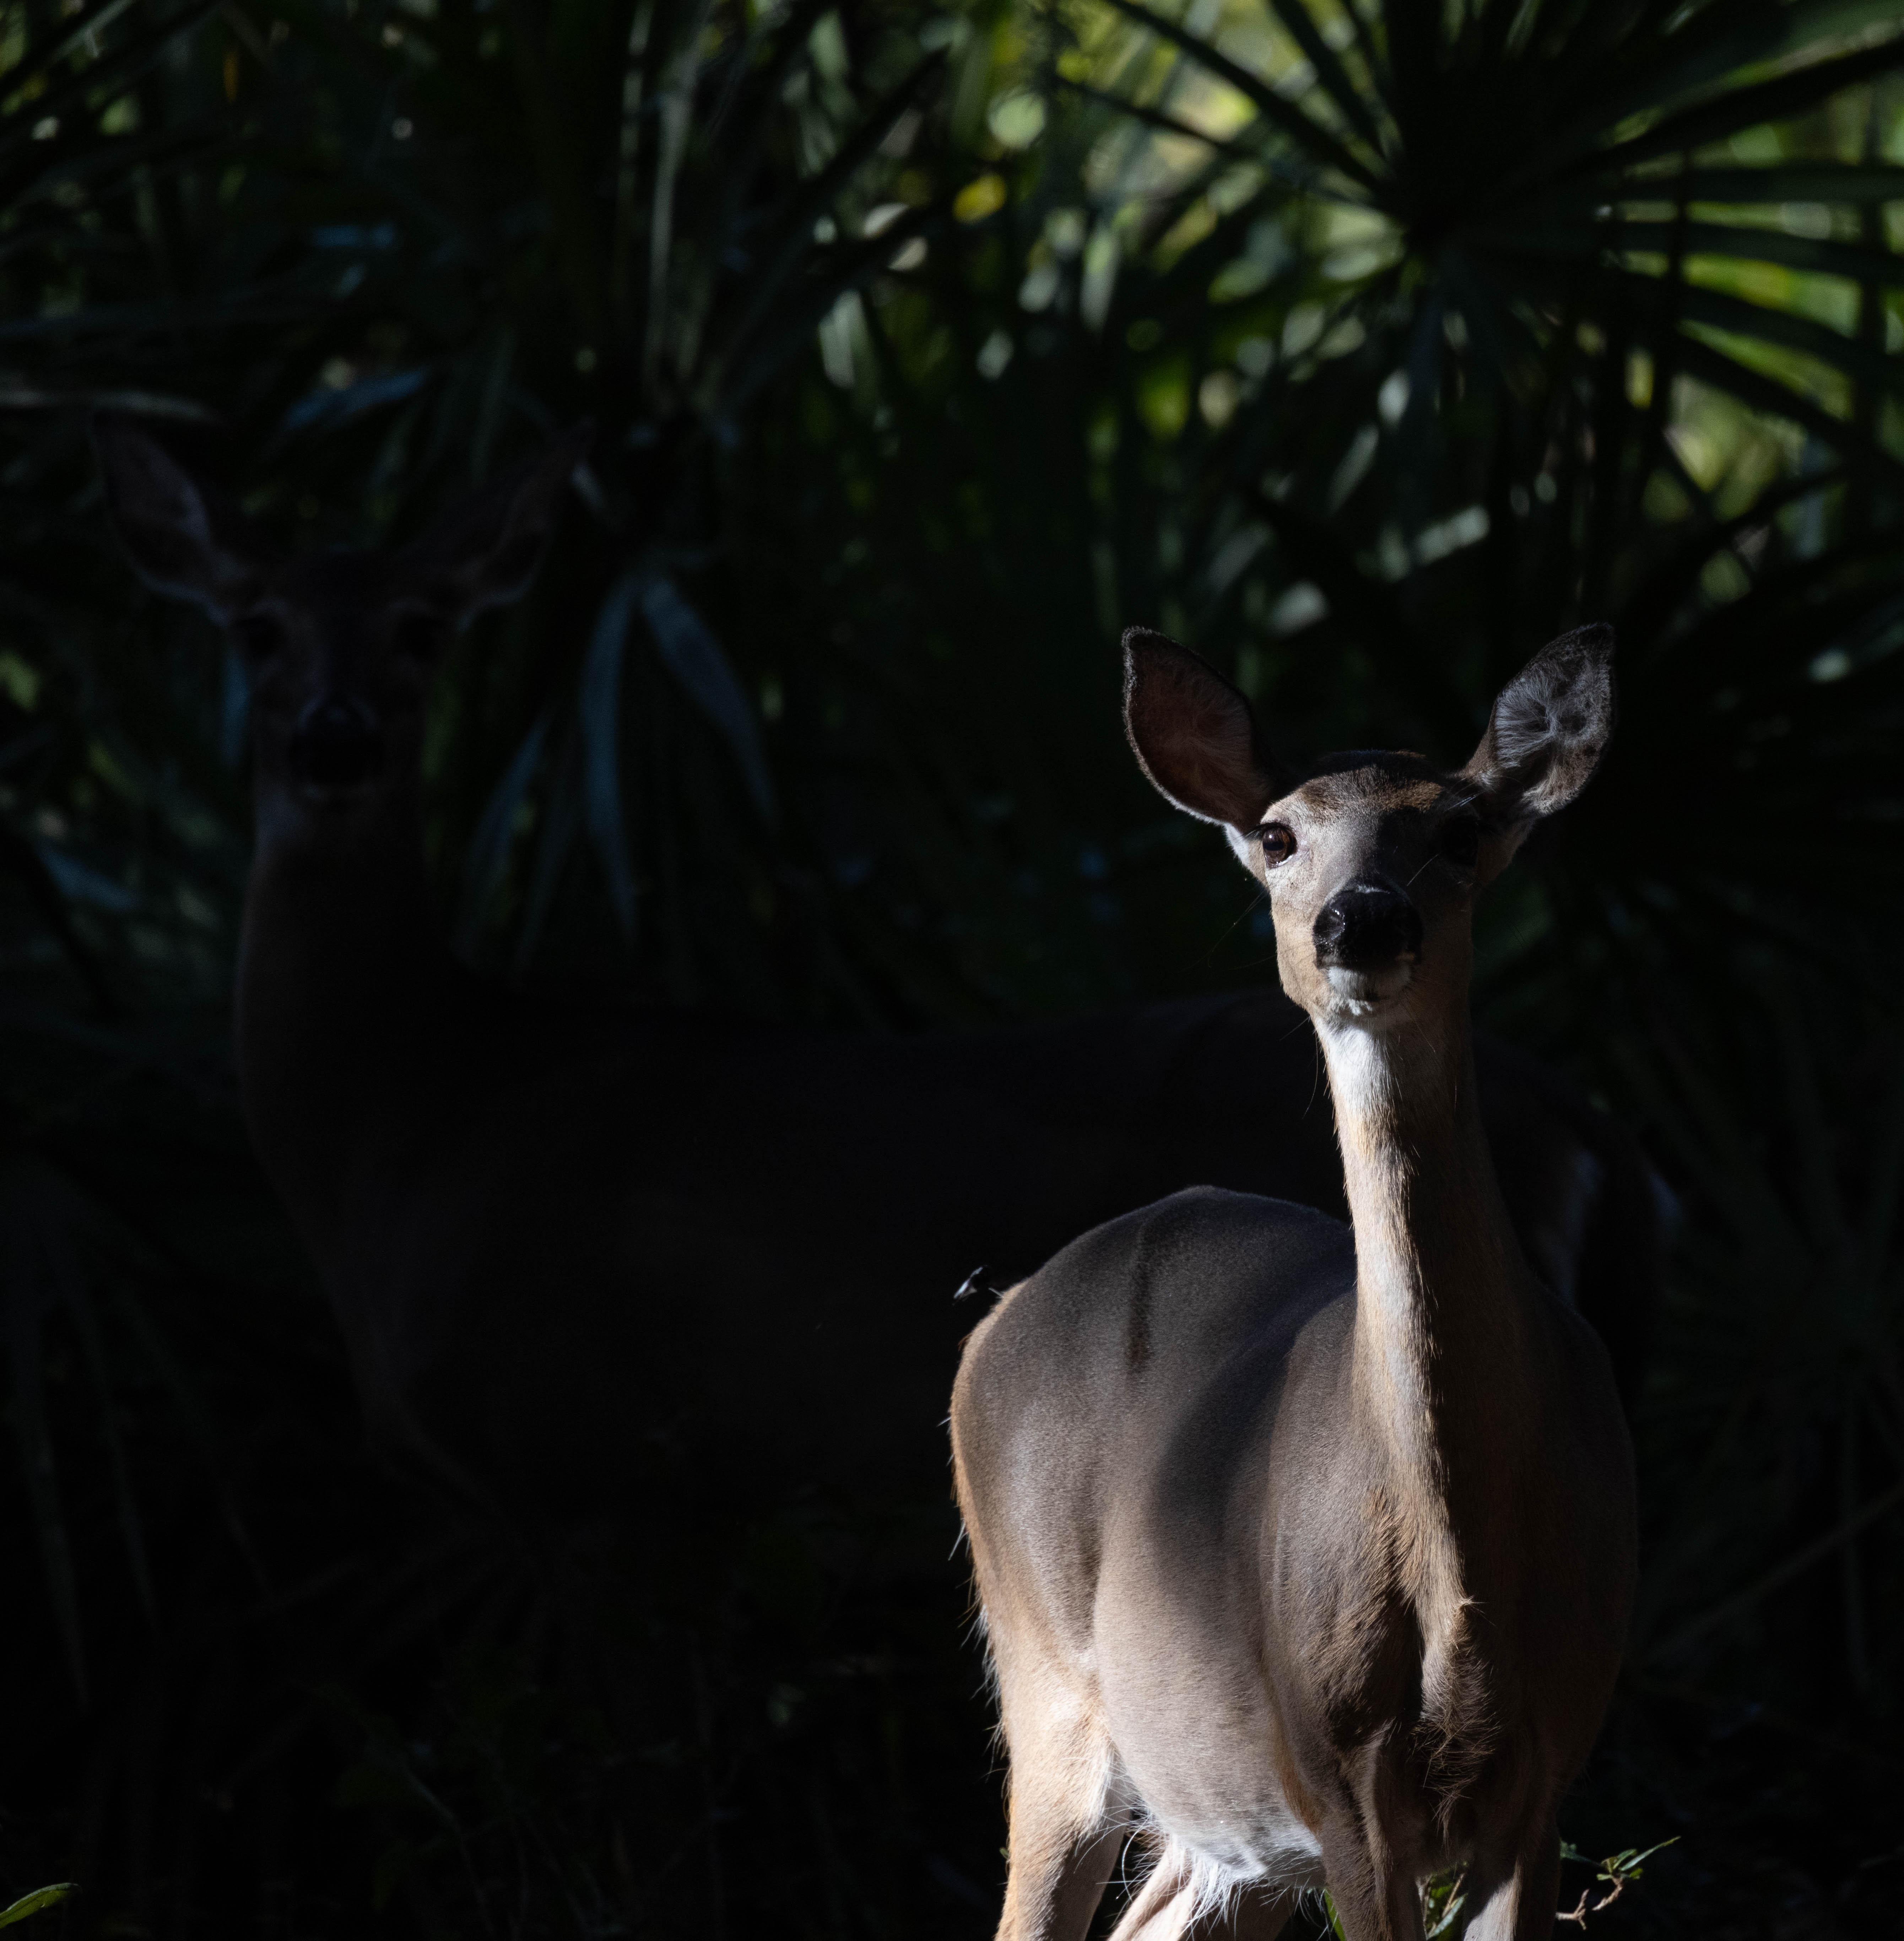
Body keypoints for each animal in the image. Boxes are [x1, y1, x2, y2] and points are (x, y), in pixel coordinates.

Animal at [93, 415, 1653, 1554]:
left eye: (424, 626)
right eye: (254, 626)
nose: (334, 738)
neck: (403, 1109)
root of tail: (1593, 1126)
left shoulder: (575, 1453)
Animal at [950, 627, 1639, 1941]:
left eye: (1462, 828)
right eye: (1278, 835)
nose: (1359, 920)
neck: (1460, 1572)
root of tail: (991, 1319)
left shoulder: (1550, 1766)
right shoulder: (1343, 1783)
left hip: (1225, 1821)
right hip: (1047, 1688)